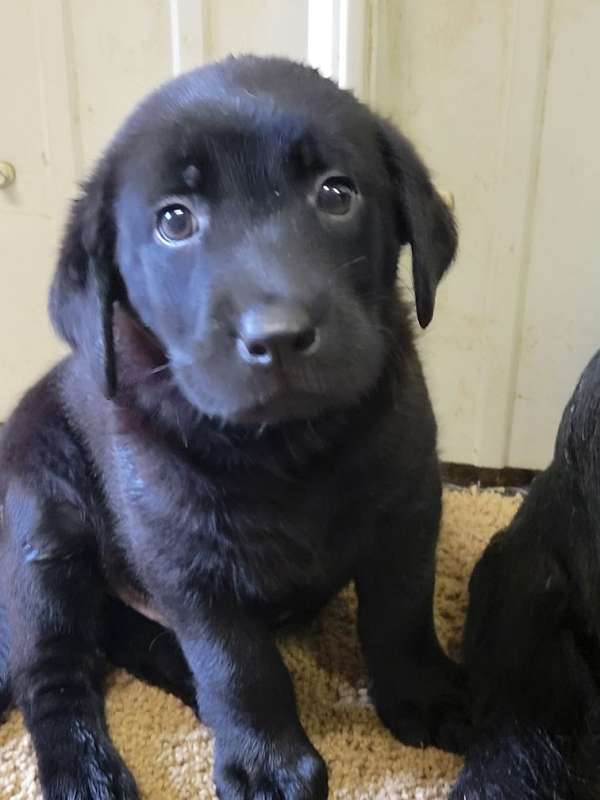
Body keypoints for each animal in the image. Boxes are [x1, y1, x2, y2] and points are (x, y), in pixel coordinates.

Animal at [0, 57, 464, 800]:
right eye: (174, 221)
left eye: (336, 194)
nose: (276, 336)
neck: (286, 446)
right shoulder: (183, 553)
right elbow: (238, 663)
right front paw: (267, 761)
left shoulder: (409, 506)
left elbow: (400, 613)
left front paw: (422, 694)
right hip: (43, 536)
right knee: (52, 672)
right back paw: (86, 773)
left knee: (119, 637)